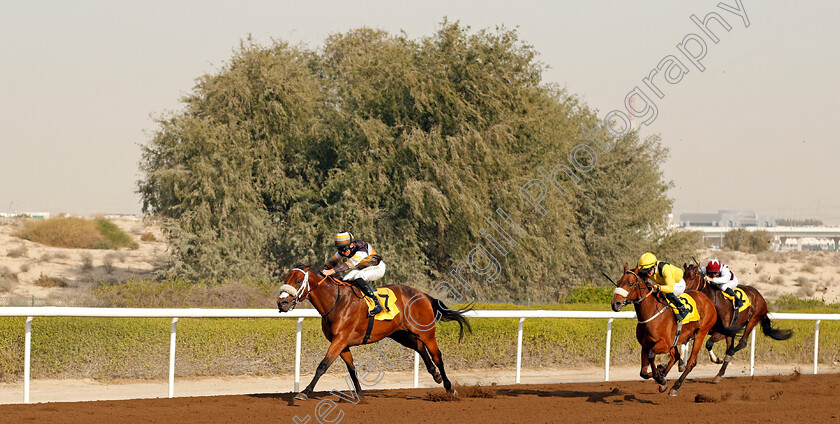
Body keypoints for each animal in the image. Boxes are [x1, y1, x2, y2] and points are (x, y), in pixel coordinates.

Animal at [278, 262, 470, 400]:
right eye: (285, 279)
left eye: (298, 281)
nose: (282, 303)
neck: (336, 301)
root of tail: (423, 294)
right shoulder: (342, 343)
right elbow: (351, 368)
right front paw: (360, 394)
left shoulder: (340, 339)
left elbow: (322, 366)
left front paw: (304, 392)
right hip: (400, 334)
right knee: (420, 348)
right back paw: (435, 375)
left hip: (426, 332)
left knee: (437, 356)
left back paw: (449, 388)